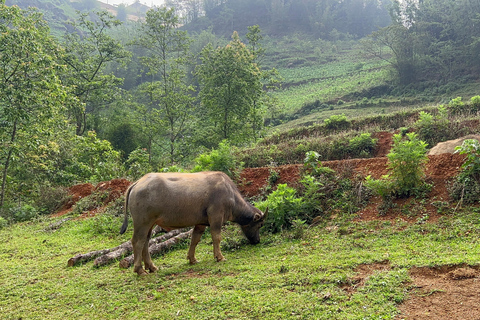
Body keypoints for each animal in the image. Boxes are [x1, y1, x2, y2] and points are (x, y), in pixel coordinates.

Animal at [119, 172, 266, 276]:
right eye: (259, 225)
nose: (257, 241)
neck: (231, 196)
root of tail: (138, 182)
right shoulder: (216, 218)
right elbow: (216, 237)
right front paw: (219, 257)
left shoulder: (201, 223)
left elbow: (195, 239)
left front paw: (192, 259)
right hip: (142, 222)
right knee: (137, 241)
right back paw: (139, 270)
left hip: (150, 224)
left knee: (146, 241)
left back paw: (152, 267)